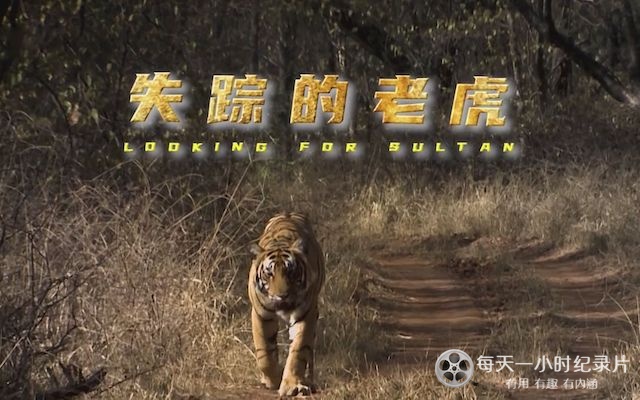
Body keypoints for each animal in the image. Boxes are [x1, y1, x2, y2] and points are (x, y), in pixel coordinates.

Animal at [248, 212, 325, 397]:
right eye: (269, 273)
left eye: (290, 272)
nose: (281, 296)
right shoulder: (261, 315)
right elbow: (264, 353)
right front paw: (272, 380)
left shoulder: (306, 314)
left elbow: (298, 350)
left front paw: (292, 385)